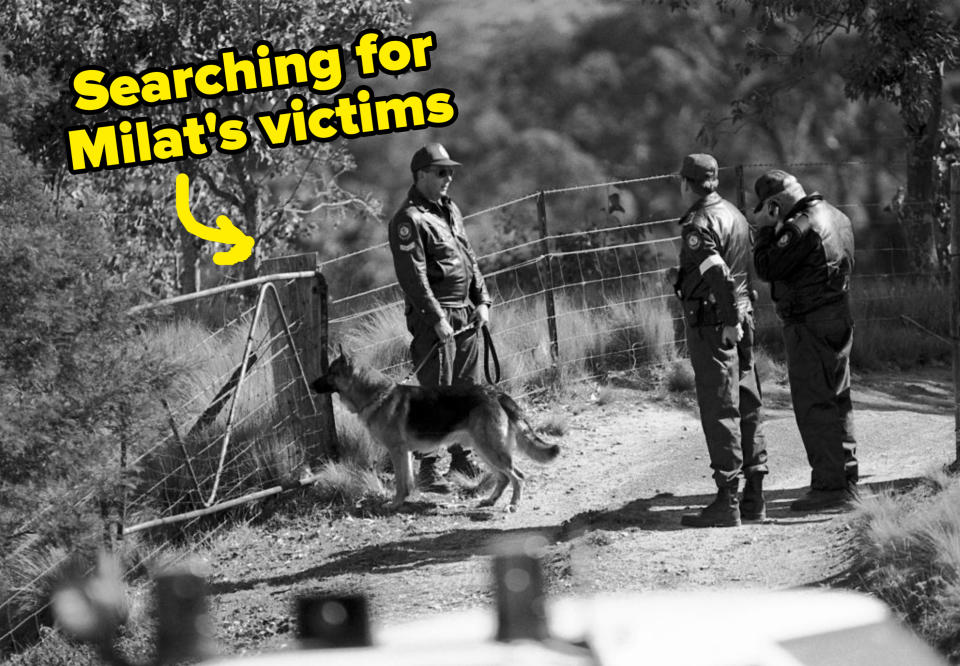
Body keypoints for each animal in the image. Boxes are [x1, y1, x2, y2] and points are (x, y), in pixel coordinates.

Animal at [312, 350, 560, 510]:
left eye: (330, 373)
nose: (312, 385)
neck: (376, 395)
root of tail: (496, 393)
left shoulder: (397, 450)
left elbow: (400, 482)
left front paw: (395, 504)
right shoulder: (405, 453)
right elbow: (407, 480)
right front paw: (403, 501)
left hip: (491, 450)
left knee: (518, 476)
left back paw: (513, 504)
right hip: (484, 449)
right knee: (503, 478)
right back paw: (491, 500)